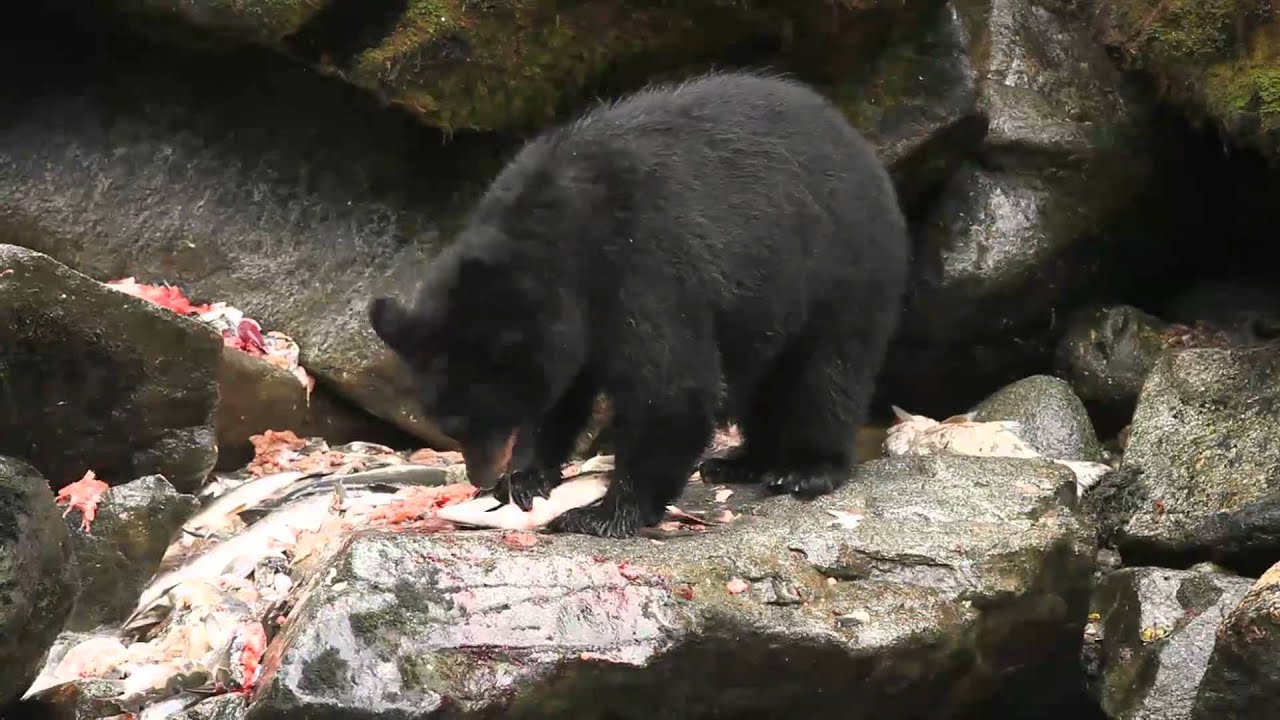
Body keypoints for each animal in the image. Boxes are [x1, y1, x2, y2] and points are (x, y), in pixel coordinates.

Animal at [369, 71, 911, 538]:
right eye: (448, 423)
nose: (480, 479)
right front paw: (525, 479)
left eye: (478, 420)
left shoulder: (645, 266)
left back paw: (804, 469)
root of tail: (859, 144)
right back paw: (739, 461)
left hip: (843, 267)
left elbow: (671, 388)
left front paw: (601, 512)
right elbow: (564, 393)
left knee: (827, 372)